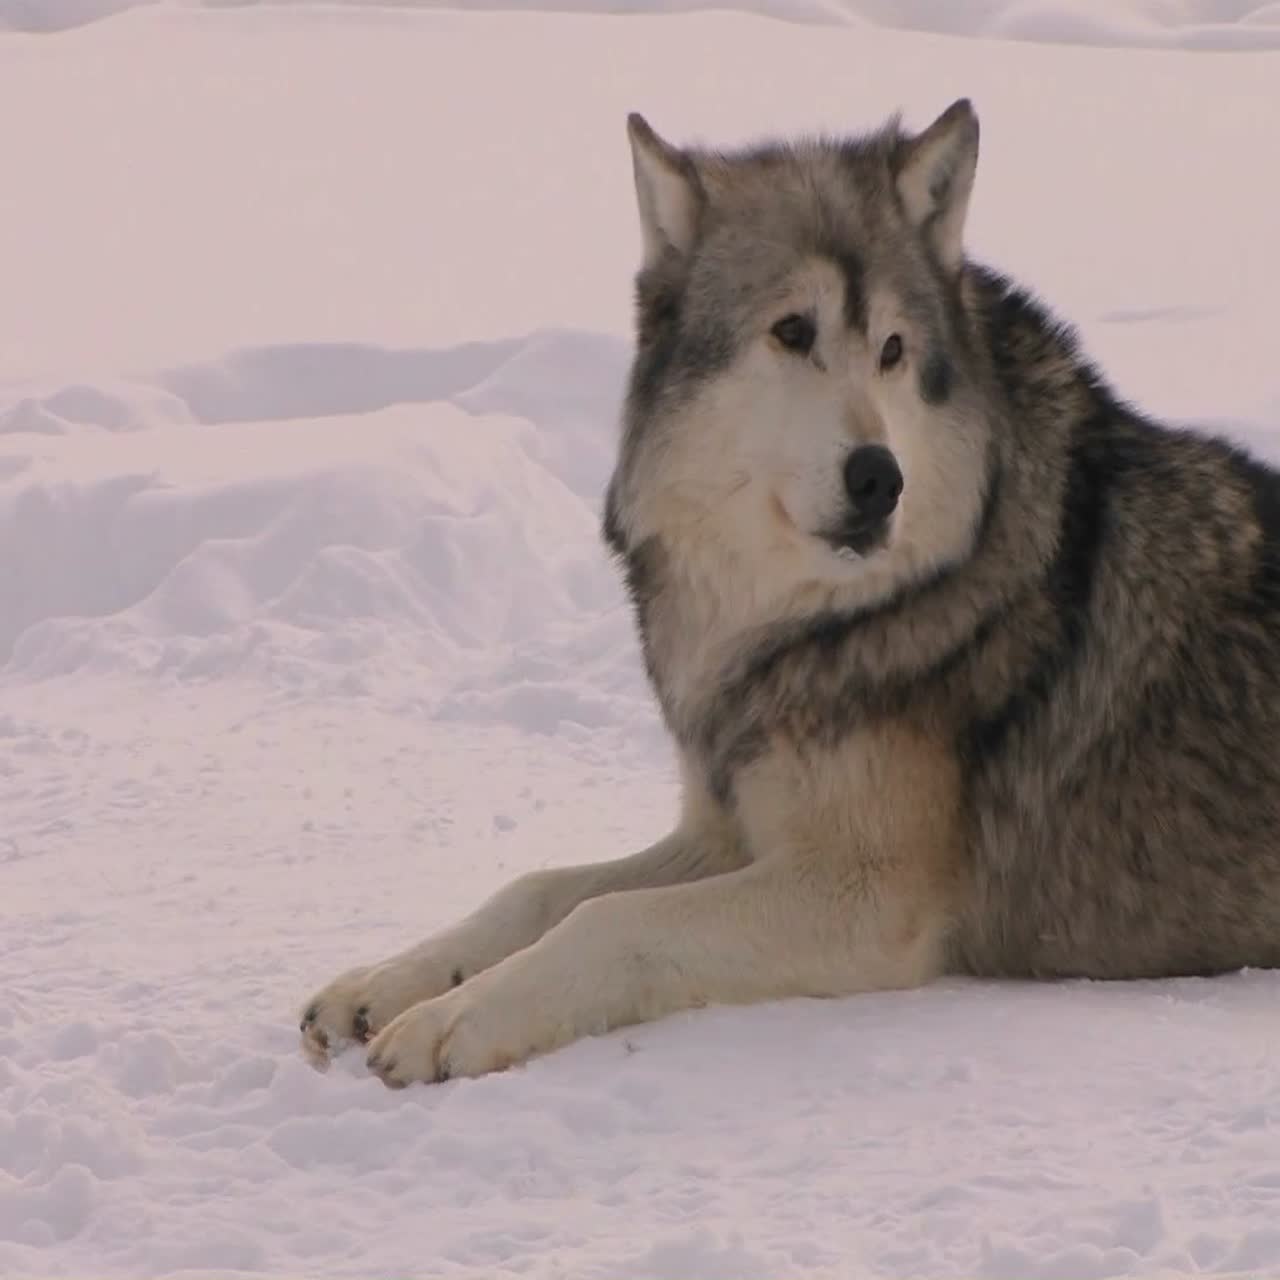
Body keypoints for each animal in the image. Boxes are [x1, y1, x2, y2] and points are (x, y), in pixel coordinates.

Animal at [300, 100, 1280, 1086]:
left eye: (892, 351)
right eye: (792, 332)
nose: (880, 478)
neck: (808, 621)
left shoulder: (865, 896)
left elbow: (604, 919)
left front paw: (452, 1019)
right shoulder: (727, 833)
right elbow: (537, 891)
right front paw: (386, 983)